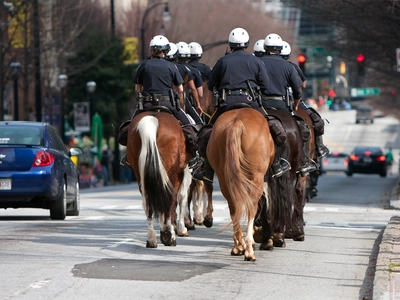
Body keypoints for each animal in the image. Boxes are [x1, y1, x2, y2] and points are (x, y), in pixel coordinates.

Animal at [126, 110, 192, 248]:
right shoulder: (185, 172)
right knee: (170, 200)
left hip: (140, 175)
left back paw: (151, 239)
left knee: (147, 203)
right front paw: (180, 228)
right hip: (171, 173)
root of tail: (151, 120)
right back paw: (168, 234)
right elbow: (182, 198)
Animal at [206, 107, 276, 260]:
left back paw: (238, 246)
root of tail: (236, 123)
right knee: (251, 206)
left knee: (234, 207)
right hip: (256, 177)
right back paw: (249, 249)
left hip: (224, 177)